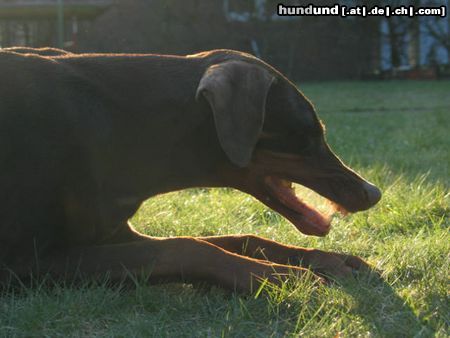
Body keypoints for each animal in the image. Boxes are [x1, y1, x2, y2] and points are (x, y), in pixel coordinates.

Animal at [0, 48, 380, 294]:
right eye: (310, 134)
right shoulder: (21, 261)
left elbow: (242, 239)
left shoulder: (113, 233)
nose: (374, 192)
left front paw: (325, 260)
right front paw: (282, 277)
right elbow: (186, 247)